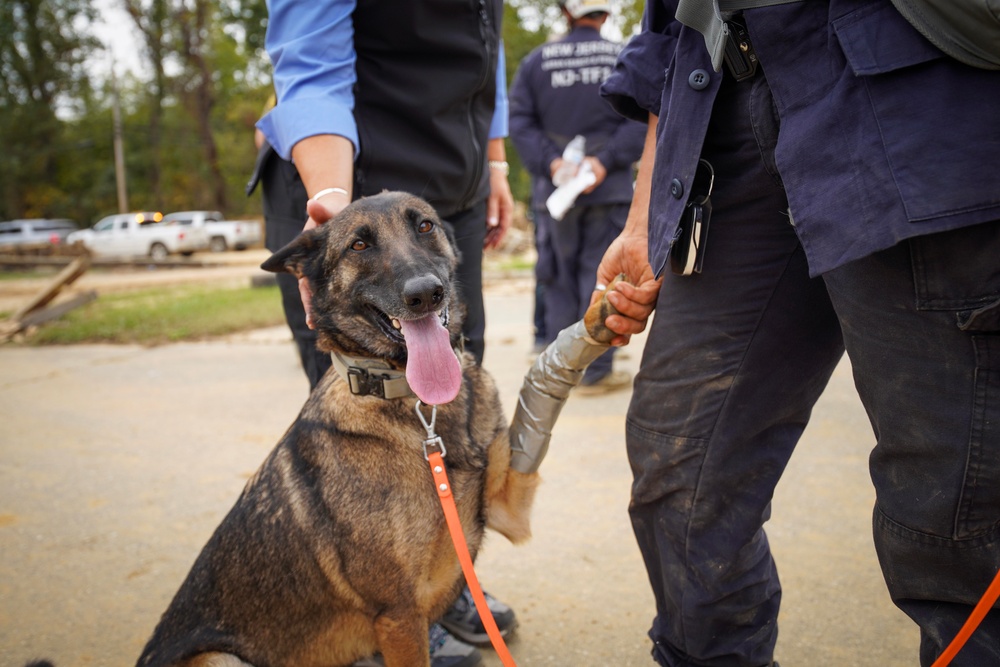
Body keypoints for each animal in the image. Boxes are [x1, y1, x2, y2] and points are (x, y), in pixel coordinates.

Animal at [136, 192, 540, 667]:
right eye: (358, 246)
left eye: (425, 226)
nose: (424, 294)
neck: (420, 409)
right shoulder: (399, 615)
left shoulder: (506, 504)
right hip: (220, 658)